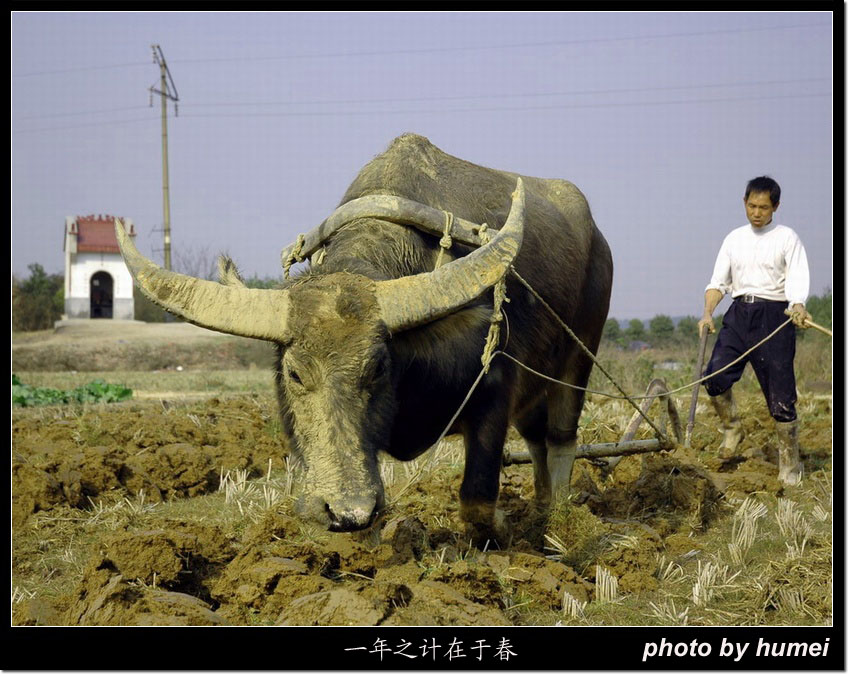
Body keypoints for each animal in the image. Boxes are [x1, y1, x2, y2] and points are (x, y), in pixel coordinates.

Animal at [117, 134, 608, 544]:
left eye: (378, 368)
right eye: (295, 374)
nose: (348, 512)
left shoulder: (494, 387)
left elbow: (477, 500)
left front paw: (502, 531)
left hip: (580, 356)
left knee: (560, 437)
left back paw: (556, 515)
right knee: (536, 438)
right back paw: (541, 508)